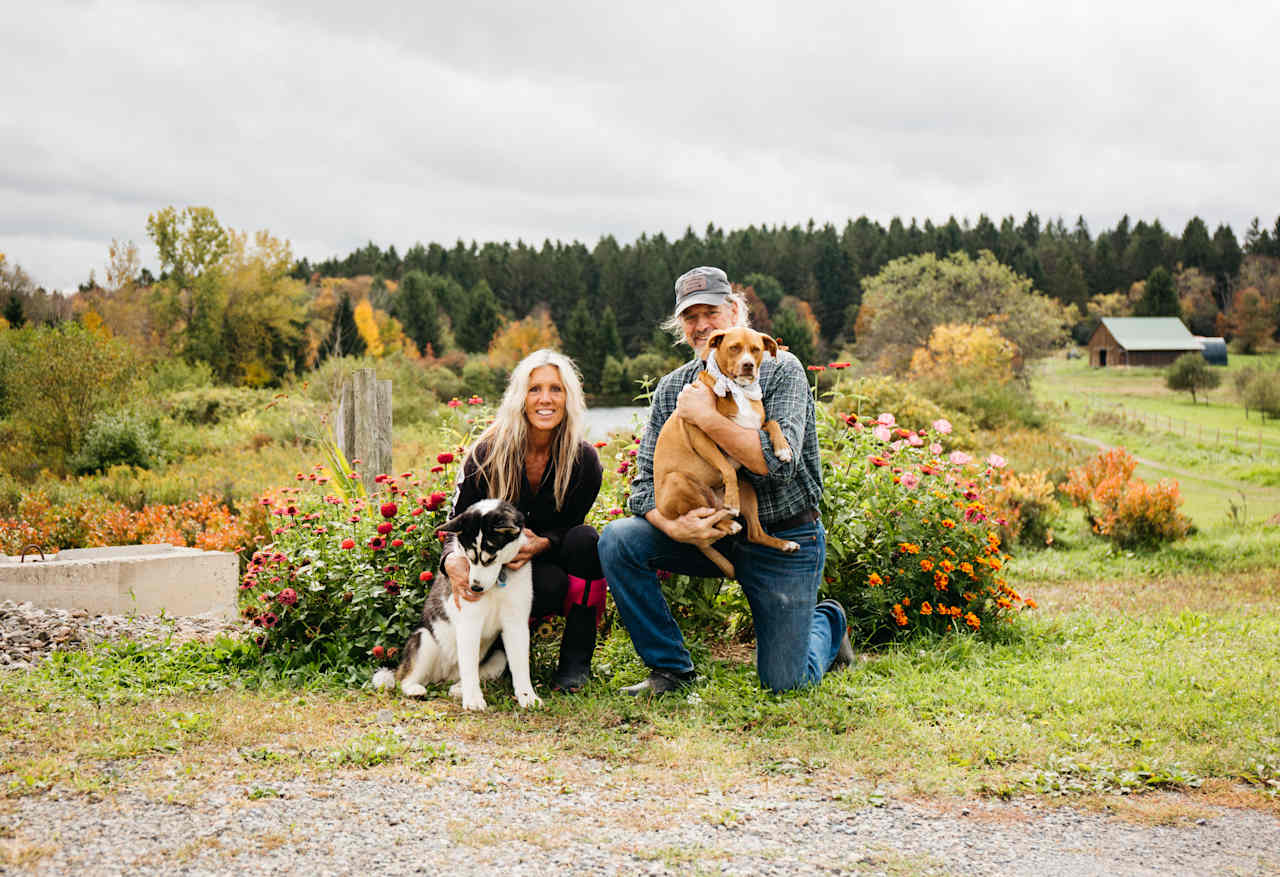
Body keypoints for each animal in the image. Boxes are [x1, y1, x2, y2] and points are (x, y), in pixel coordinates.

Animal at [373, 499, 545, 711]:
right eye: (470, 558)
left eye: (491, 558)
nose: (475, 588)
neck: (497, 581)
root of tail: (444, 676)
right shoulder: (469, 623)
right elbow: (469, 667)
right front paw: (473, 700)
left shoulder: (516, 623)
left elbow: (520, 666)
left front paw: (528, 697)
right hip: (425, 639)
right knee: (403, 680)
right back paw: (415, 689)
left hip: (498, 656)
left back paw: (458, 688)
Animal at [655, 325, 793, 578]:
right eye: (734, 347)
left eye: (756, 349)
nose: (748, 365)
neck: (738, 390)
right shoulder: (701, 435)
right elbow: (727, 467)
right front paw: (731, 499)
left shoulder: (753, 429)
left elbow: (773, 423)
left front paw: (783, 449)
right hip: (678, 481)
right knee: (704, 517)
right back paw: (728, 520)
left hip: (747, 487)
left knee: (753, 533)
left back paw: (784, 544)